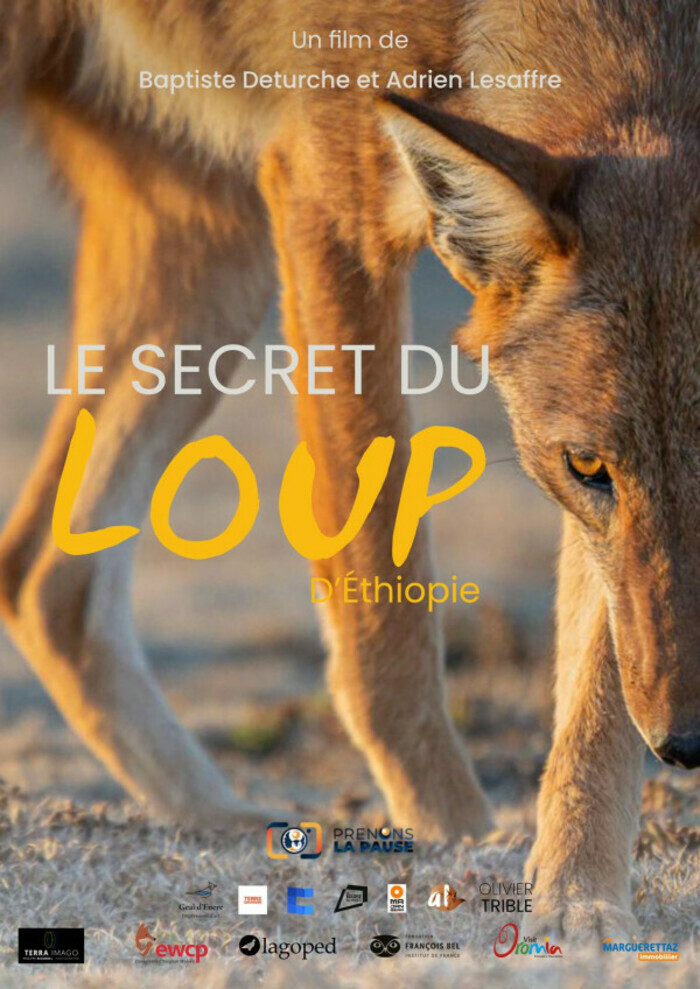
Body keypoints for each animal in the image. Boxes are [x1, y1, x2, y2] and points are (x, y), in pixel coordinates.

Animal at [0, 0, 698, 939]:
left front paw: (578, 895)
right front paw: (453, 840)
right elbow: (383, 609)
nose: (687, 743)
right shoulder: (328, 195)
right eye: (587, 465)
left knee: (44, 580)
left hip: (217, 264)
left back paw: (222, 822)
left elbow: (597, 684)